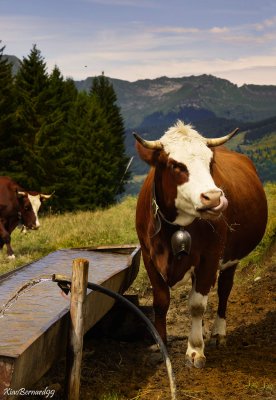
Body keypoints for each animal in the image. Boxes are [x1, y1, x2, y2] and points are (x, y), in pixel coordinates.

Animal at [134, 121, 268, 368]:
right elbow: (161, 301)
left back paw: (217, 333)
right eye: (175, 165)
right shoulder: (149, 256)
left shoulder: (210, 256)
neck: (174, 226)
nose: (214, 198)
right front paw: (161, 346)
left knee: (224, 290)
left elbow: (197, 305)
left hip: (231, 258)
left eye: (210, 162)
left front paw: (195, 349)